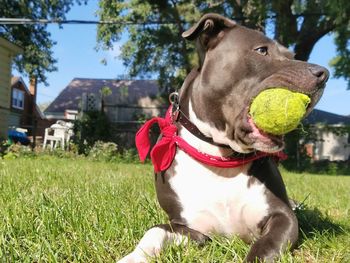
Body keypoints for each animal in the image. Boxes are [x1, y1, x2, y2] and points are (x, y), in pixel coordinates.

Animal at [117, 12, 328, 263]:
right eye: (262, 50)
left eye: (292, 56)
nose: (324, 74)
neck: (220, 157)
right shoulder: (191, 229)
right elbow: (155, 231)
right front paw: (133, 257)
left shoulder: (283, 217)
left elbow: (264, 246)